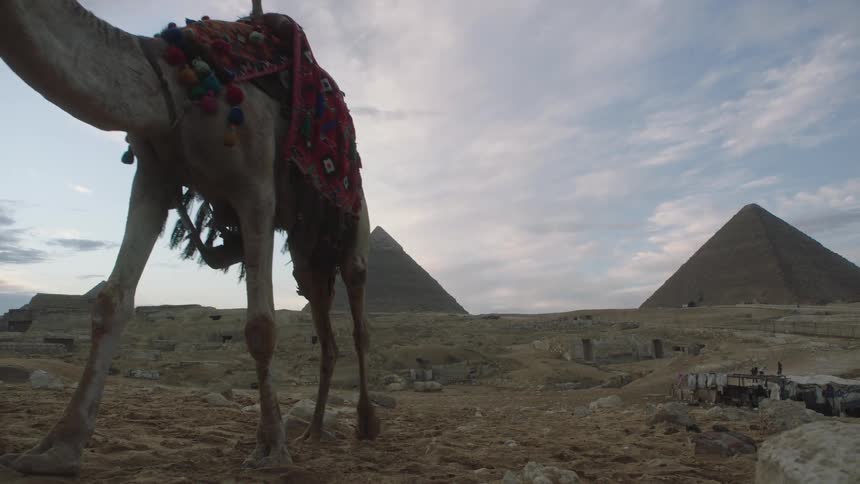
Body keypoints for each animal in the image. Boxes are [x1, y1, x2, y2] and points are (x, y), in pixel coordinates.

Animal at [0, 0, 378, 475]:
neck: (171, 82)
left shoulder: (255, 187)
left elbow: (260, 325)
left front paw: (272, 450)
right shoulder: (154, 174)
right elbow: (111, 302)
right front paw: (56, 449)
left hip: (354, 218)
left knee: (359, 312)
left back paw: (365, 424)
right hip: (308, 250)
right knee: (324, 324)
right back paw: (312, 431)